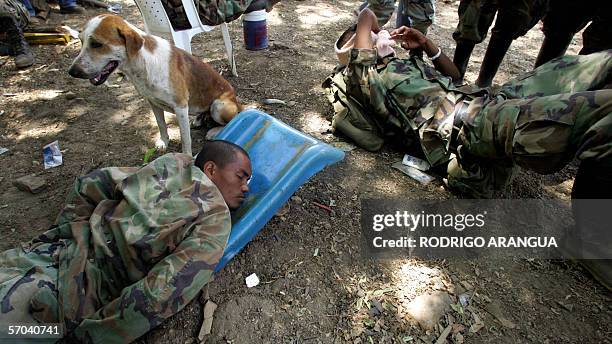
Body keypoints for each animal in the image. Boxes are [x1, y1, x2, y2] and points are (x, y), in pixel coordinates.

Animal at [67, 14, 239, 156]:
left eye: (96, 44)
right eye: (81, 41)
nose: (72, 71)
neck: (143, 62)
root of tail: (238, 102)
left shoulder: (180, 107)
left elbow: (185, 139)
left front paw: (186, 157)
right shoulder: (153, 102)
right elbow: (161, 124)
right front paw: (164, 142)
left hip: (218, 105)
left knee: (233, 119)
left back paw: (214, 131)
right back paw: (199, 120)